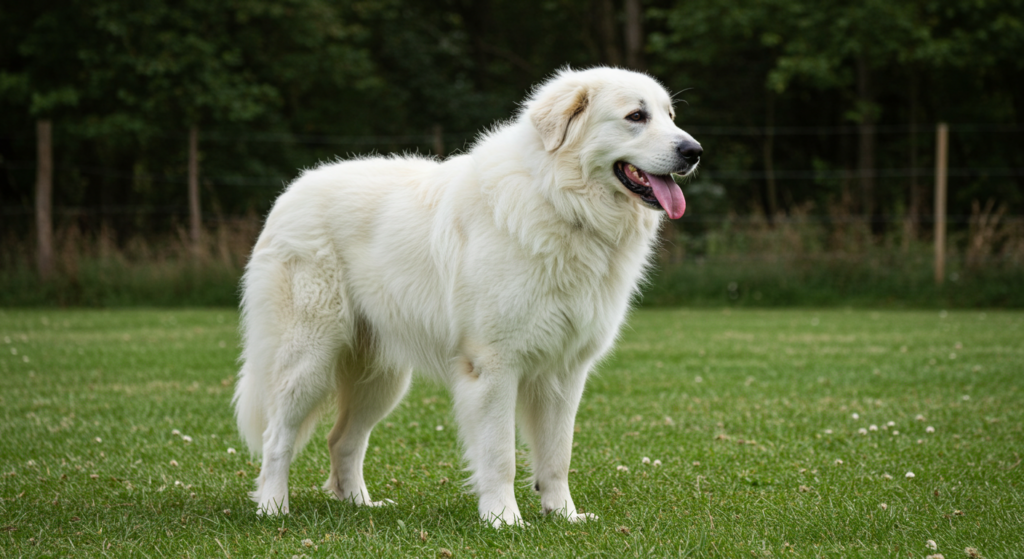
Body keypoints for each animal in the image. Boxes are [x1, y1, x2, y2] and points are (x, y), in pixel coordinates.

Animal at [234, 67, 704, 524]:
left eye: (670, 116)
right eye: (636, 116)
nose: (694, 151)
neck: (560, 201)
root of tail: (290, 193)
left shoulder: (565, 373)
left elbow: (557, 457)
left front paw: (564, 515)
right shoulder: (494, 367)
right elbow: (500, 456)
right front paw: (503, 518)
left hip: (381, 378)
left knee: (342, 440)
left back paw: (361, 506)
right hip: (308, 361)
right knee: (277, 437)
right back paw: (273, 507)